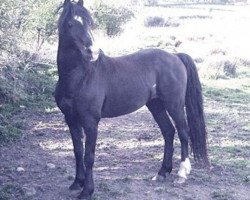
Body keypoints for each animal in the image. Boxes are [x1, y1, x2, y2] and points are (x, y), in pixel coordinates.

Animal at [55, 0, 209, 199]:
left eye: (89, 23)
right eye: (70, 24)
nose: (92, 52)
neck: (80, 76)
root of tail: (175, 56)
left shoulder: (90, 122)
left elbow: (89, 156)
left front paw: (87, 190)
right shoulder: (71, 119)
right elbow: (78, 151)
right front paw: (76, 183)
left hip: (174, 105)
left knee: (183, 132)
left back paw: (181, 174)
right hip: (156, 105)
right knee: (168, 132)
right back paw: (162, 173)